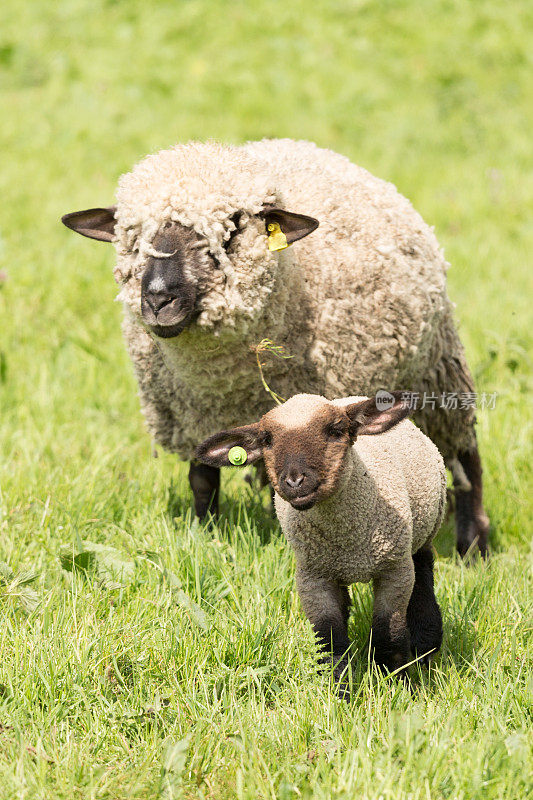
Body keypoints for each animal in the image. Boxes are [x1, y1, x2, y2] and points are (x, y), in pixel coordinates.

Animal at [61, 136, 486, 556]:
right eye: (131, 237)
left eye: (232, 228)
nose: (158, 298)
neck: (225, 381)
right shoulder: (196, 416)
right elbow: (202, 480)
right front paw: (205, 538)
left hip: (437, 371)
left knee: (466, 455)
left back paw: (473, 546)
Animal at [195, 390, 444, 692]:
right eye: (267, 440)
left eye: (336, 430)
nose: (294, 481)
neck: (347, 538)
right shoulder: (313, 578)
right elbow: (330, 640)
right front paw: (339, 692)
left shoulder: (394, 571)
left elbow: (390, 636)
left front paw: (395, 686)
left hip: (423, 532)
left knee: (424, 574)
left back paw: (427, 646)